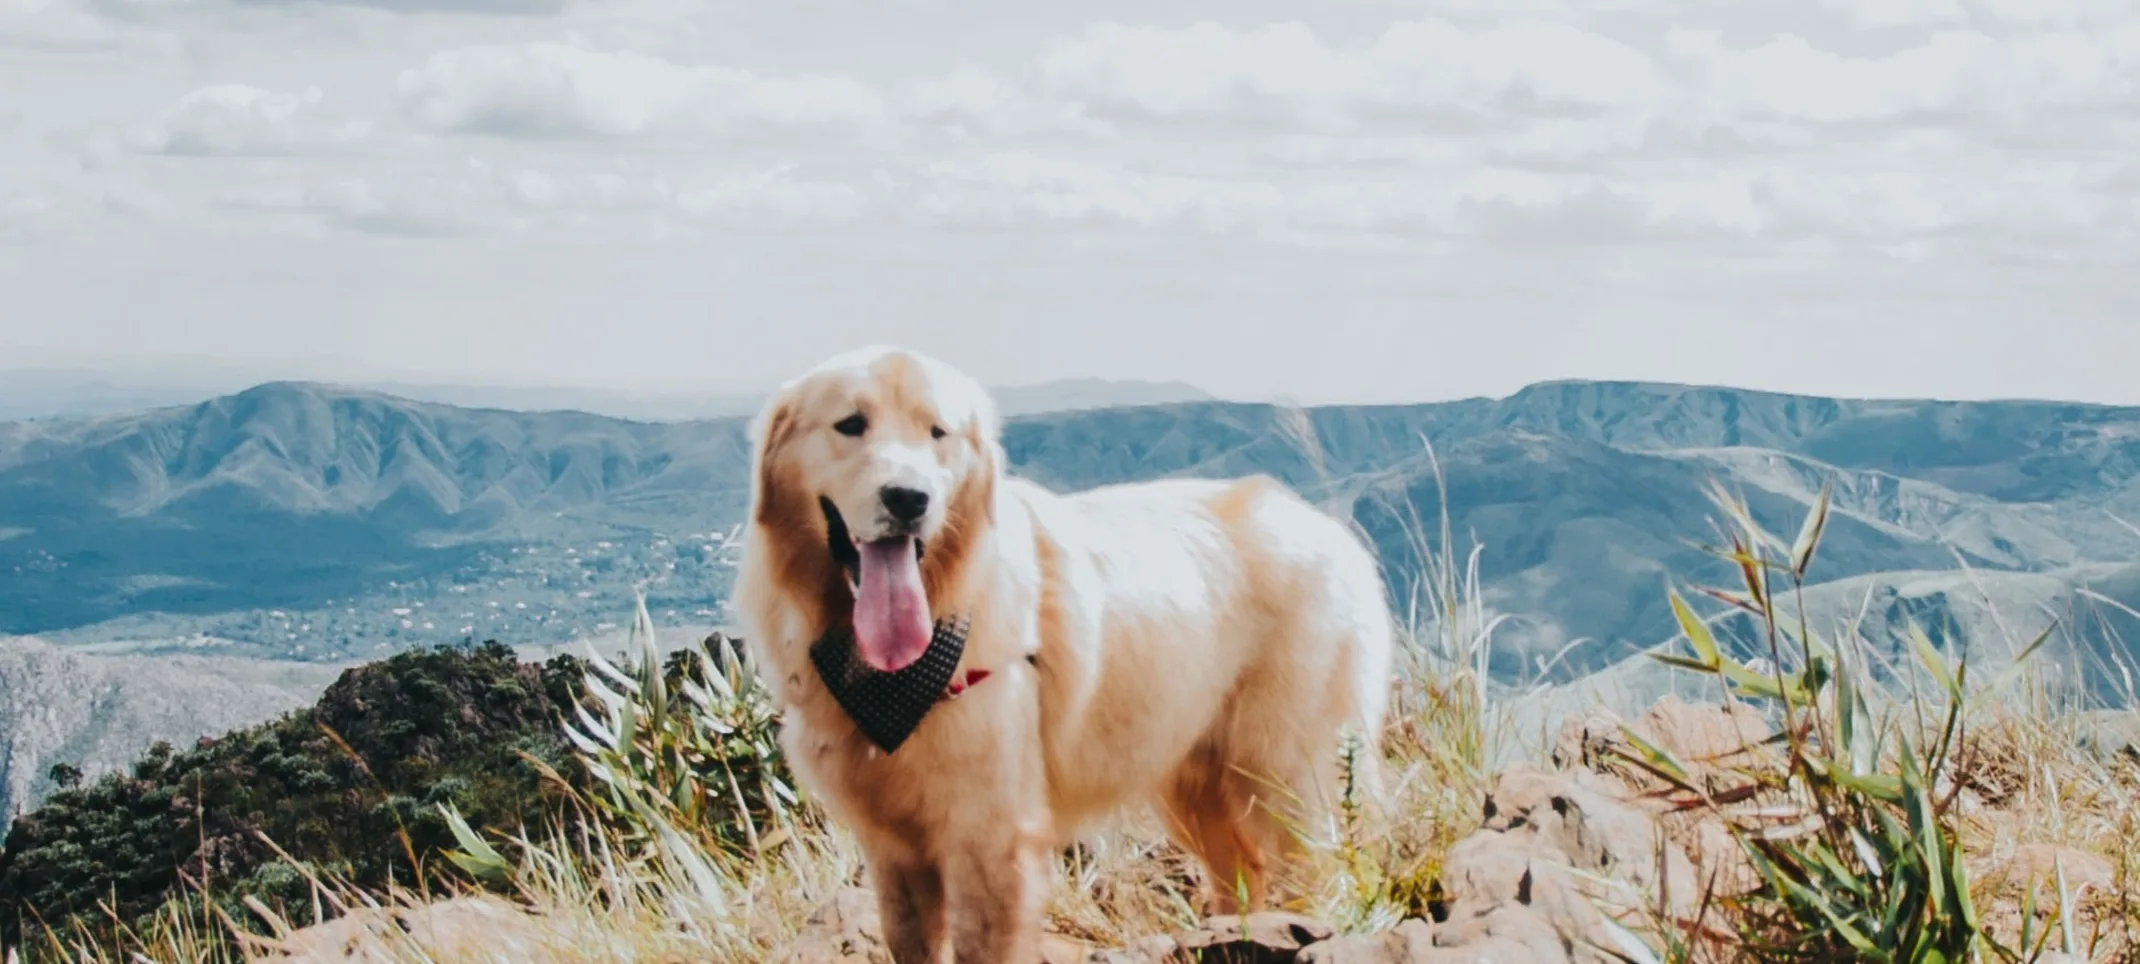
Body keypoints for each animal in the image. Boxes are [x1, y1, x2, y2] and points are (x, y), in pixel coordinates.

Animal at [736, 347, 1395, 964]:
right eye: (851, 424)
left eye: (937, 432)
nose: (908, 499)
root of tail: (1331, 531)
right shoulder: (895, 853)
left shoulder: (991, 841)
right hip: (1196, 789)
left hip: (1282, 776)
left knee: (1306, 870)